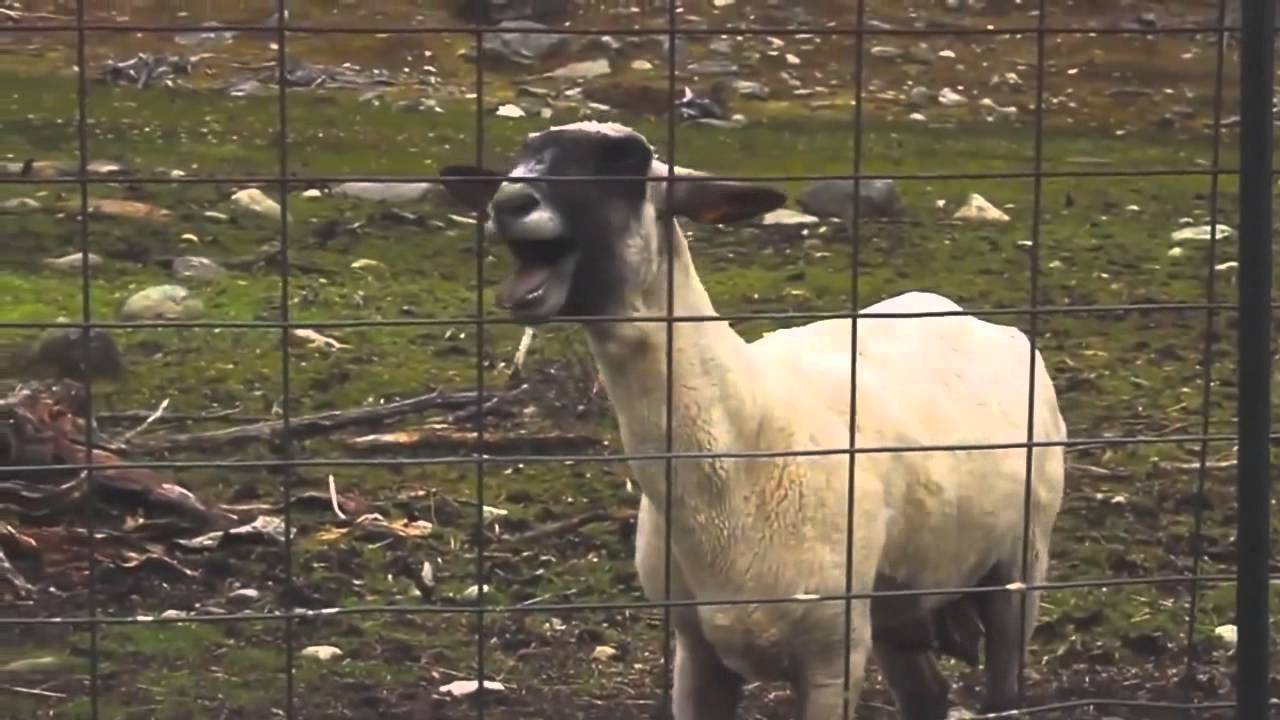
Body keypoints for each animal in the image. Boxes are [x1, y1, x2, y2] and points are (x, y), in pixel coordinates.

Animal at [439, 121, 1067, 720]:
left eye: (625, 165)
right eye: (523, 154)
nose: (510, 201)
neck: (744, 445)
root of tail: (965, 313)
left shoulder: (832, 657)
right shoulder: (697, 652)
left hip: (1021, 561)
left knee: (1005, 684)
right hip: (898, 599)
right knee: (926, 698)